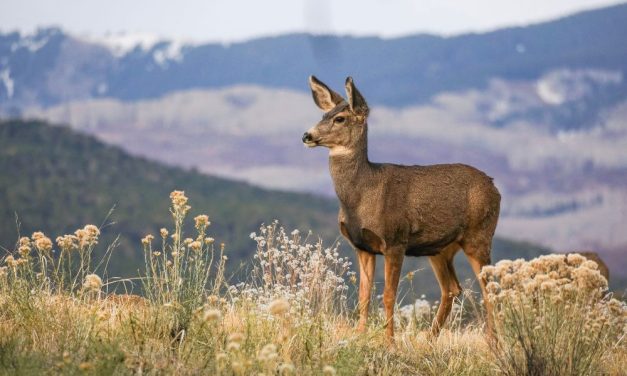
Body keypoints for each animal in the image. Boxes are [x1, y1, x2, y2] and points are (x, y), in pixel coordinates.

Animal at [302, 76, 502, 340]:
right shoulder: (362, 246)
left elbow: (389, 296)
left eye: (340, 118)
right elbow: (364, 296)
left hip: (479, 235)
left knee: (490, 288)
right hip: (439, 248)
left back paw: (492, 341)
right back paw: (429, 339)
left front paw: (390, 341)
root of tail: (494, 187)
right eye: (324, 115)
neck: (363, 194)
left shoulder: (395, 240)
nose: (306, 135)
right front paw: (359, 335)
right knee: (452, 288)